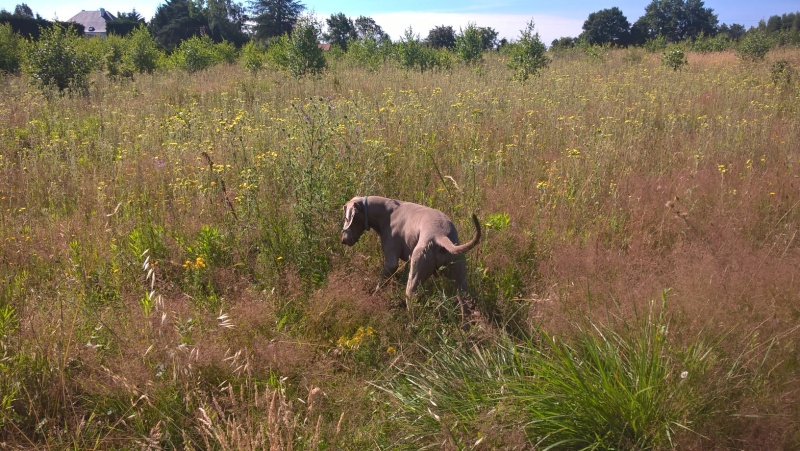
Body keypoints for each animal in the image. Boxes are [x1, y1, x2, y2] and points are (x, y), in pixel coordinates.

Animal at [340, 196, 482, 324]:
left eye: (347, 218)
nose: (343, 240)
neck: (386, 211)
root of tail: (441, 236)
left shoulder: (391, 261)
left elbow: (382, 281)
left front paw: (374, 297)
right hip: (459, 276)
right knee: (465, 302)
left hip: (417, 269)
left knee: (411, 298)